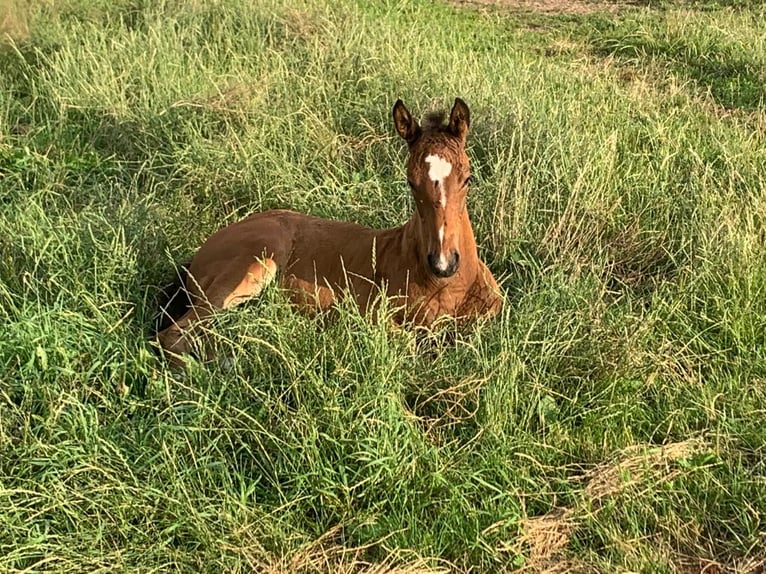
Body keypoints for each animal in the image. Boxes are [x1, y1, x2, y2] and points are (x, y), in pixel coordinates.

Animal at [158, 98, 504, 364]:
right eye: (410, 182)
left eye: (468, 177)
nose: (443, 262)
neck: (445, 287)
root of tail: (201, 252)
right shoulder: (374, 315)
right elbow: (409, 343)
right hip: (255, 263)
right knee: (173, 334)